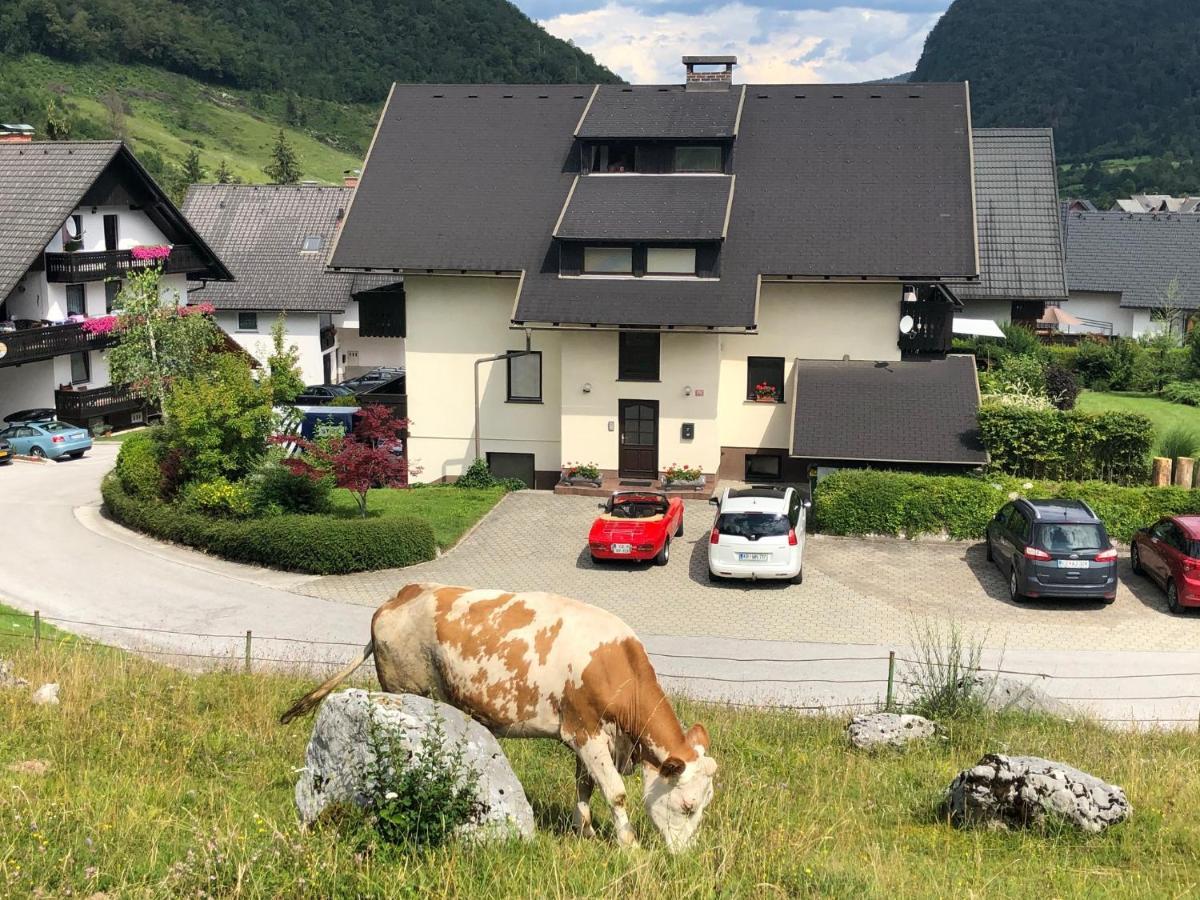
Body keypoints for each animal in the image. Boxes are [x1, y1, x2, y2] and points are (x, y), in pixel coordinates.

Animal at [280, 585, 710, 854]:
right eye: (688, 806)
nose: (684, 856)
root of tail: (401, 595)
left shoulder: (588, 735)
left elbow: (585, 785)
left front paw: (584, 830)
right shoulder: (584, 729)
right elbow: (615, 792)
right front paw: (629, 845)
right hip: (402, 691)